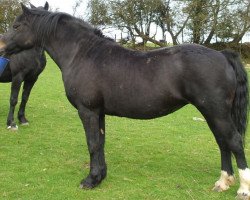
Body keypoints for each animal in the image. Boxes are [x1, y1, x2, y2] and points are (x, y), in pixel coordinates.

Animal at [0, 2, 48, 130]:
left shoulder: (32, 78)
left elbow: (25, 97)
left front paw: (22, 119)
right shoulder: (17, 77)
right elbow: (13, 99)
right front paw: (11, 123)